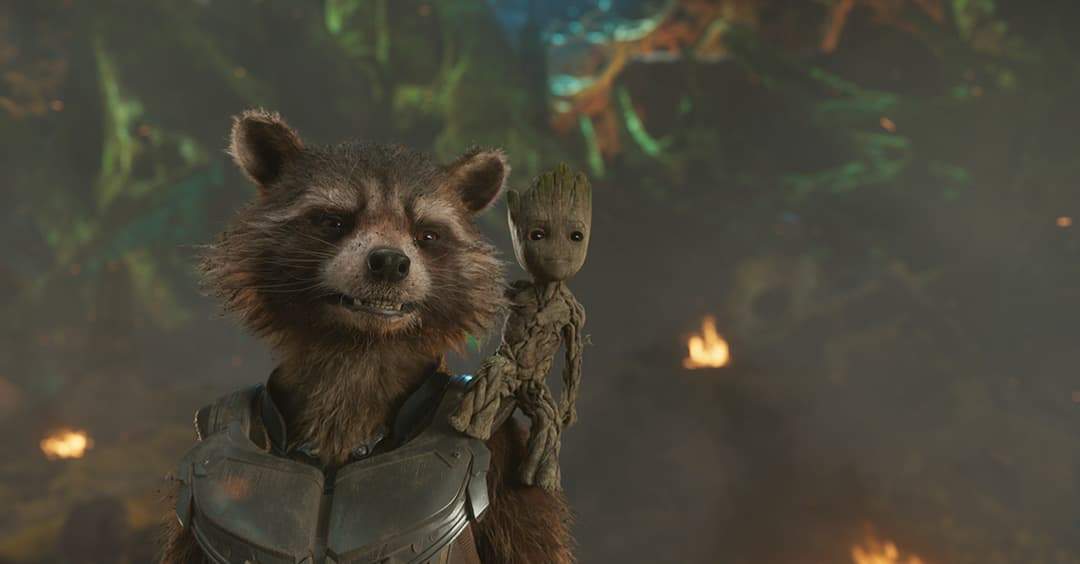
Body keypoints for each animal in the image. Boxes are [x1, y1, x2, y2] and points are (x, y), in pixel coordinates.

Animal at [159, 110, 573, 563]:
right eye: (334, 221)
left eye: (427, 234)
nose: (390, 263)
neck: (361, 347)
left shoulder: (504, 452)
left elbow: (528, 542)